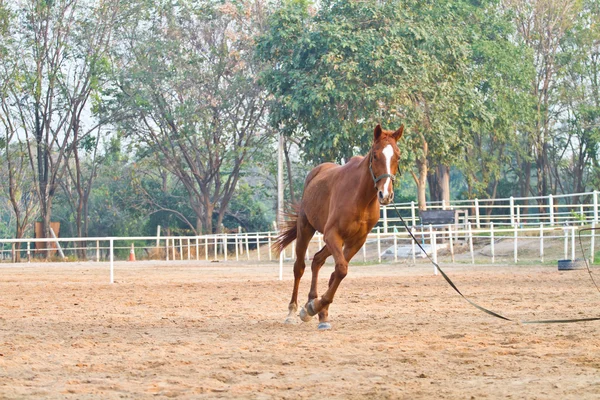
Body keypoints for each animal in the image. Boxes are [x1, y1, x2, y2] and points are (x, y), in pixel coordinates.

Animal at [274, 123, 406, 330]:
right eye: (375, 155)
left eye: (397, 156)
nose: (385, 195)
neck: (360, 198)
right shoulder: (332, 235)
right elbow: (341, 270)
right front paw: (313, 308)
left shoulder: (356, 241)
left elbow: (338, 272)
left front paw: (317, 309)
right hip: (306, 229)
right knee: (299, 268)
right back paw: (292, 311)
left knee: (317, 260)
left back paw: (314, 306)